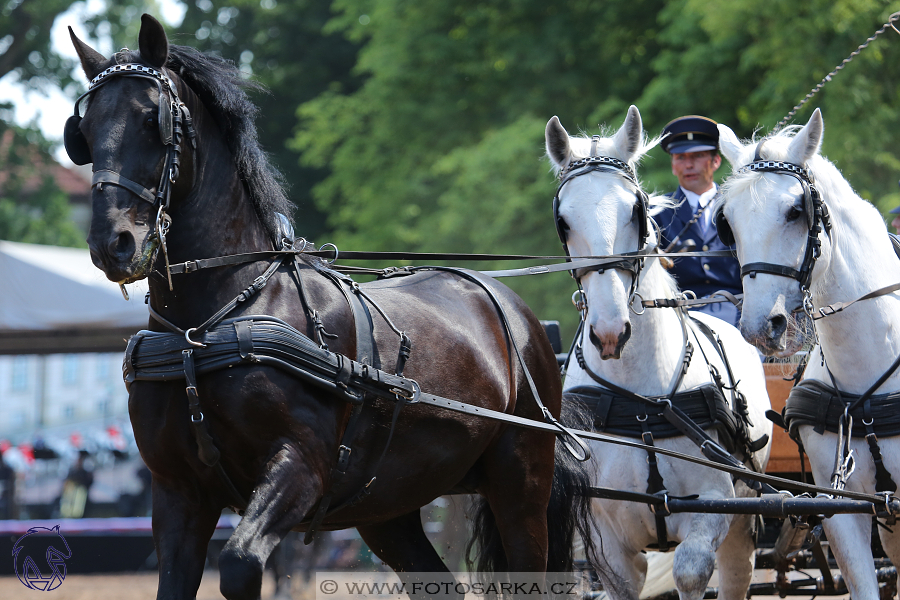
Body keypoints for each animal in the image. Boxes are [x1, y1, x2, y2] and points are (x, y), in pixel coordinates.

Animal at [67, 14, 596, 600]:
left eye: (151, 119)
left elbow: (241, 563)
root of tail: (519, 314)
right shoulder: (178, 492)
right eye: (84, 132)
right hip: (387, 506)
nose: (111, 242)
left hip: (520, 482)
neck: (205, 326)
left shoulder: (301, 465)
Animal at [544, 108, 768, 600]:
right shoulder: (607, 541)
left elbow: (690, 572)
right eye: (562, 221)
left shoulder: (713, 509)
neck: (641, 404)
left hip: (744, 518)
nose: (610, 332)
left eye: (636, 209)